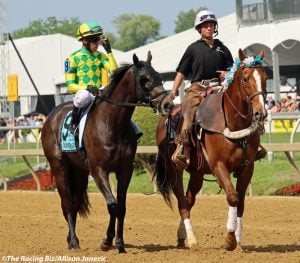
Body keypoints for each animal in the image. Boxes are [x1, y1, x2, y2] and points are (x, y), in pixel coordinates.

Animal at [42, 52, 173, 254]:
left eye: (159, 76)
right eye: (145, 80)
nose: (167, 104)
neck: (112, 123)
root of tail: (51, 117)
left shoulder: (124, 170)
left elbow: (121, 207)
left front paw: (118, 243)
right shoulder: (99, 170)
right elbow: (112, 205)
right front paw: (107, 241)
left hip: (80, 172)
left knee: (75, 201)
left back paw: (70, 240)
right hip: (59, 167)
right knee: (67, 203)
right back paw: (74, 242)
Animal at [155, 49, 268, 252]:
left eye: (265, 77)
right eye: (245, 78)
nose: (260, 113)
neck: (232, 122)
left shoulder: (248, 168)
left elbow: (241, 202)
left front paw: (238, 242)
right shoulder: (219, 166)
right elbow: (232, 197)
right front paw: (229, 240)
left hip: (197, 173)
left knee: (189, 200)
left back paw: (182, 236)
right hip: (175, 169)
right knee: (182, 203)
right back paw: (192, 240)